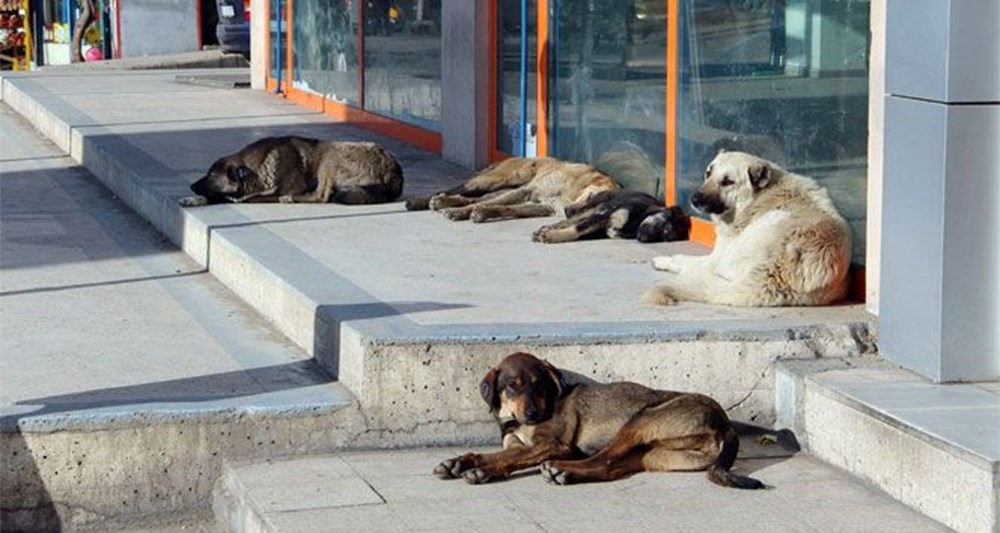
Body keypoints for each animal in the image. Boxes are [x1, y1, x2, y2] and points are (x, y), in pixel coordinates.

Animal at [180, 135, 402, 206]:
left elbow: (252, 197)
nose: (191, 186)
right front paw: (193, 200)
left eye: (210, 175)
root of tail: (393, 169)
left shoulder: (289, 186)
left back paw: (291, 199)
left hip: (329, 159)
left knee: (321, 196)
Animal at [402, 156, 620, 222]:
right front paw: (462, 213)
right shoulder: (530, 192)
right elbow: (494, 204)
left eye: (598, 209)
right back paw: (424, 201)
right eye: (590, 197)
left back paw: (449, 202)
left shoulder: (543, 206)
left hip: (503, 187)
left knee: (477, 198)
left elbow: (506, 208)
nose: (568, 212)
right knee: (455, 189)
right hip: (497, 179)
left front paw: (482, 213)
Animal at [432, 352, 764, 488]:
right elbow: (499, 455)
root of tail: (726, 423)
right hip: (652, 455)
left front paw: (480, 471)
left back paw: (560, 470)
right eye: (511, 385)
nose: (533, 414)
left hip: (640, 421)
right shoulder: (517, 444)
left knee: (602, 459)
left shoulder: (555, 445)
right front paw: (461, 462)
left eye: (539, 385)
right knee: (610, 468)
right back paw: (567, 475)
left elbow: (507, 460)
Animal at [536, 189, 692, 243]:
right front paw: (554, 236)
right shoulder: (604, 216)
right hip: (594, 207)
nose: (645, 239)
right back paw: (547, 229)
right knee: (570, 220)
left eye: (664, 238)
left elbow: (579, 230)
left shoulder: (602, 226)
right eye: (665, 228)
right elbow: (577, 228)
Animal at [648, 150, 852, 308]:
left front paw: (663, 260)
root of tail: (774, 272)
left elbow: (682, 258)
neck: (758, 197)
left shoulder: (716, 257)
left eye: (728, 181)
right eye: (708, 173)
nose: (694, 199)